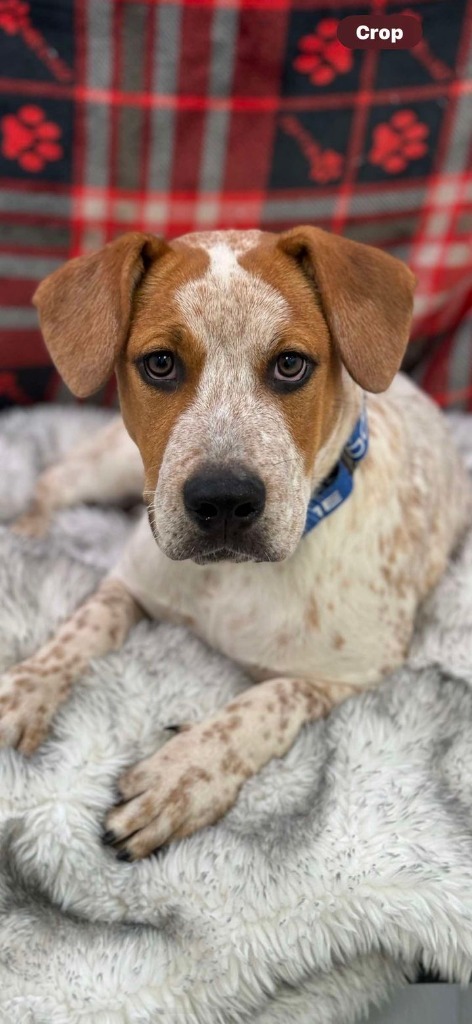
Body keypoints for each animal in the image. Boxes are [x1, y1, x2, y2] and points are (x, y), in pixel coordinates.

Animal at [1, 228, 468, 860]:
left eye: (291, 364)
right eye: (161, 363)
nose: (222, 501)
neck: (232, 576)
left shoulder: (357, 673)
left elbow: (264, 704)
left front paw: (181, 775)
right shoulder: (130, 581)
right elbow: (78, 631)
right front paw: (23, 689)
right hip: (114, 466)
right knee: (52, 482)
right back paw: (26, 534)